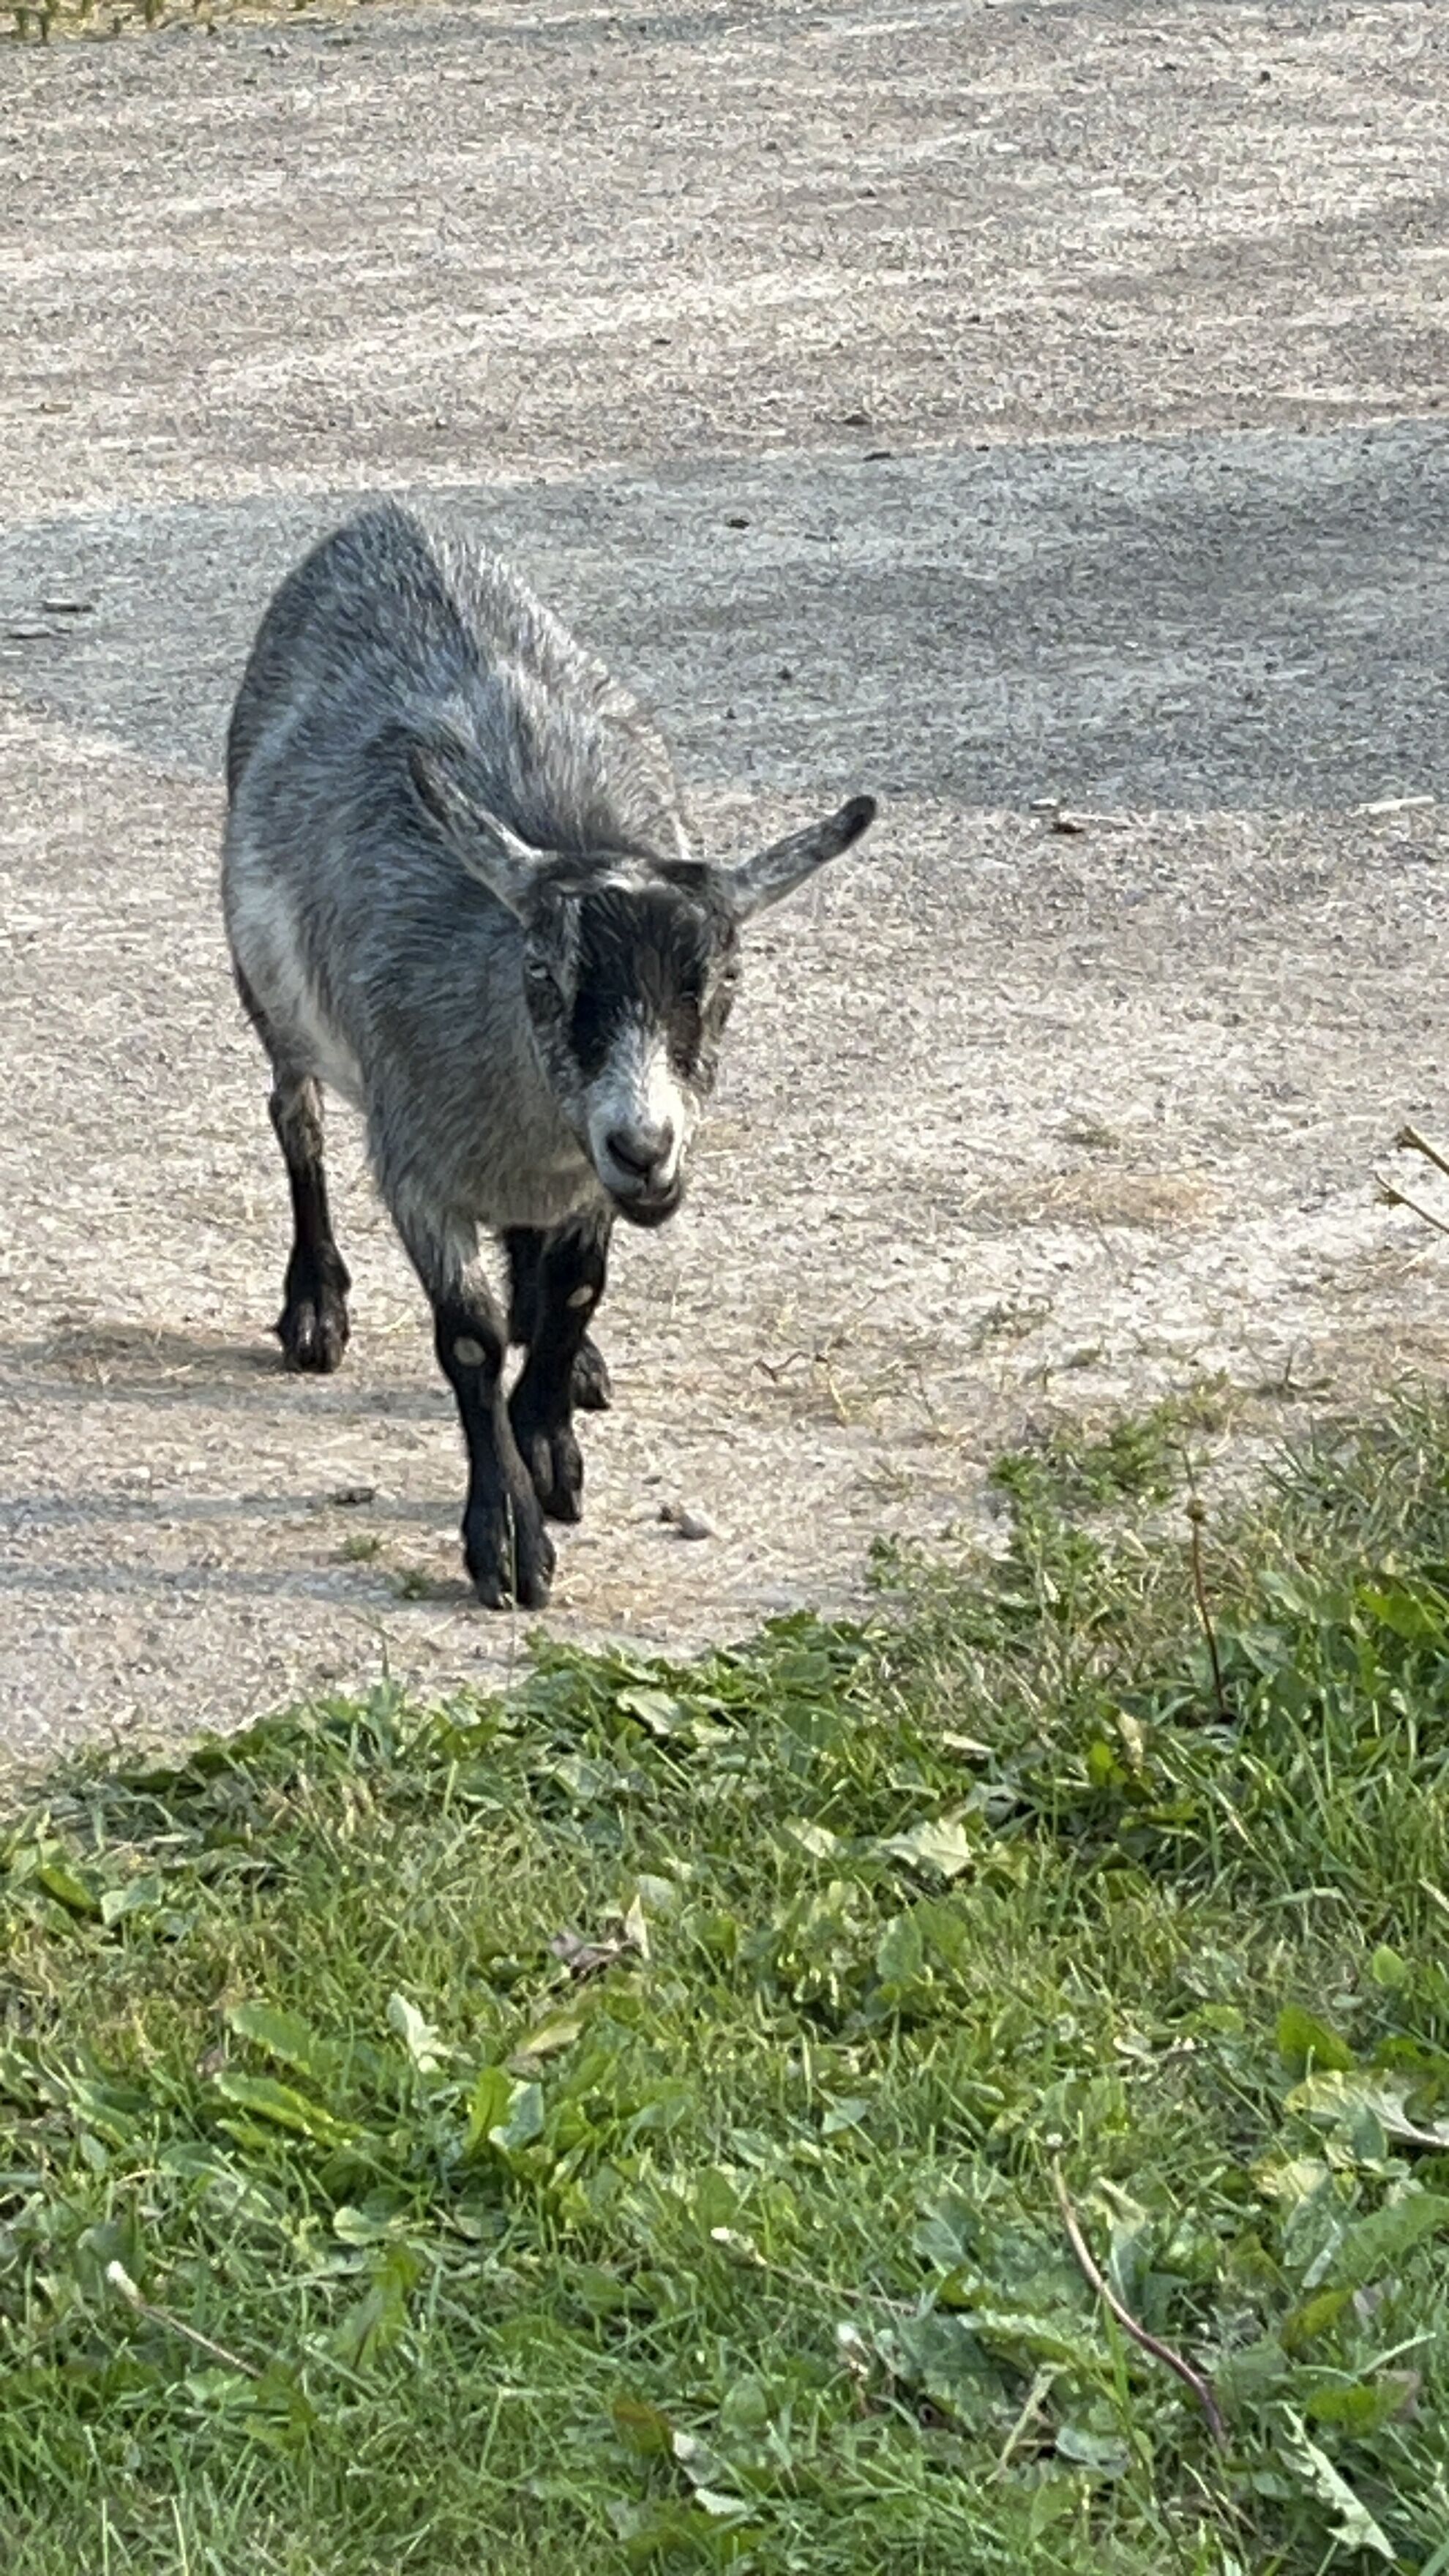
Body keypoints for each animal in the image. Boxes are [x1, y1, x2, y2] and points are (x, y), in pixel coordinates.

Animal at [221, 503, 877, 1608]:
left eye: (721, 979)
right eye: (543, 974)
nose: (645, 1150)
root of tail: (384, 520)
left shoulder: (581, 1182)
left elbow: (573, 1292)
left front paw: (550, 1439)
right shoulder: (418, 1166)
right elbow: (470, 1337)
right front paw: (508, 1535)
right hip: (266, 993)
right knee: (295, 1118)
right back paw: (314, 1303)